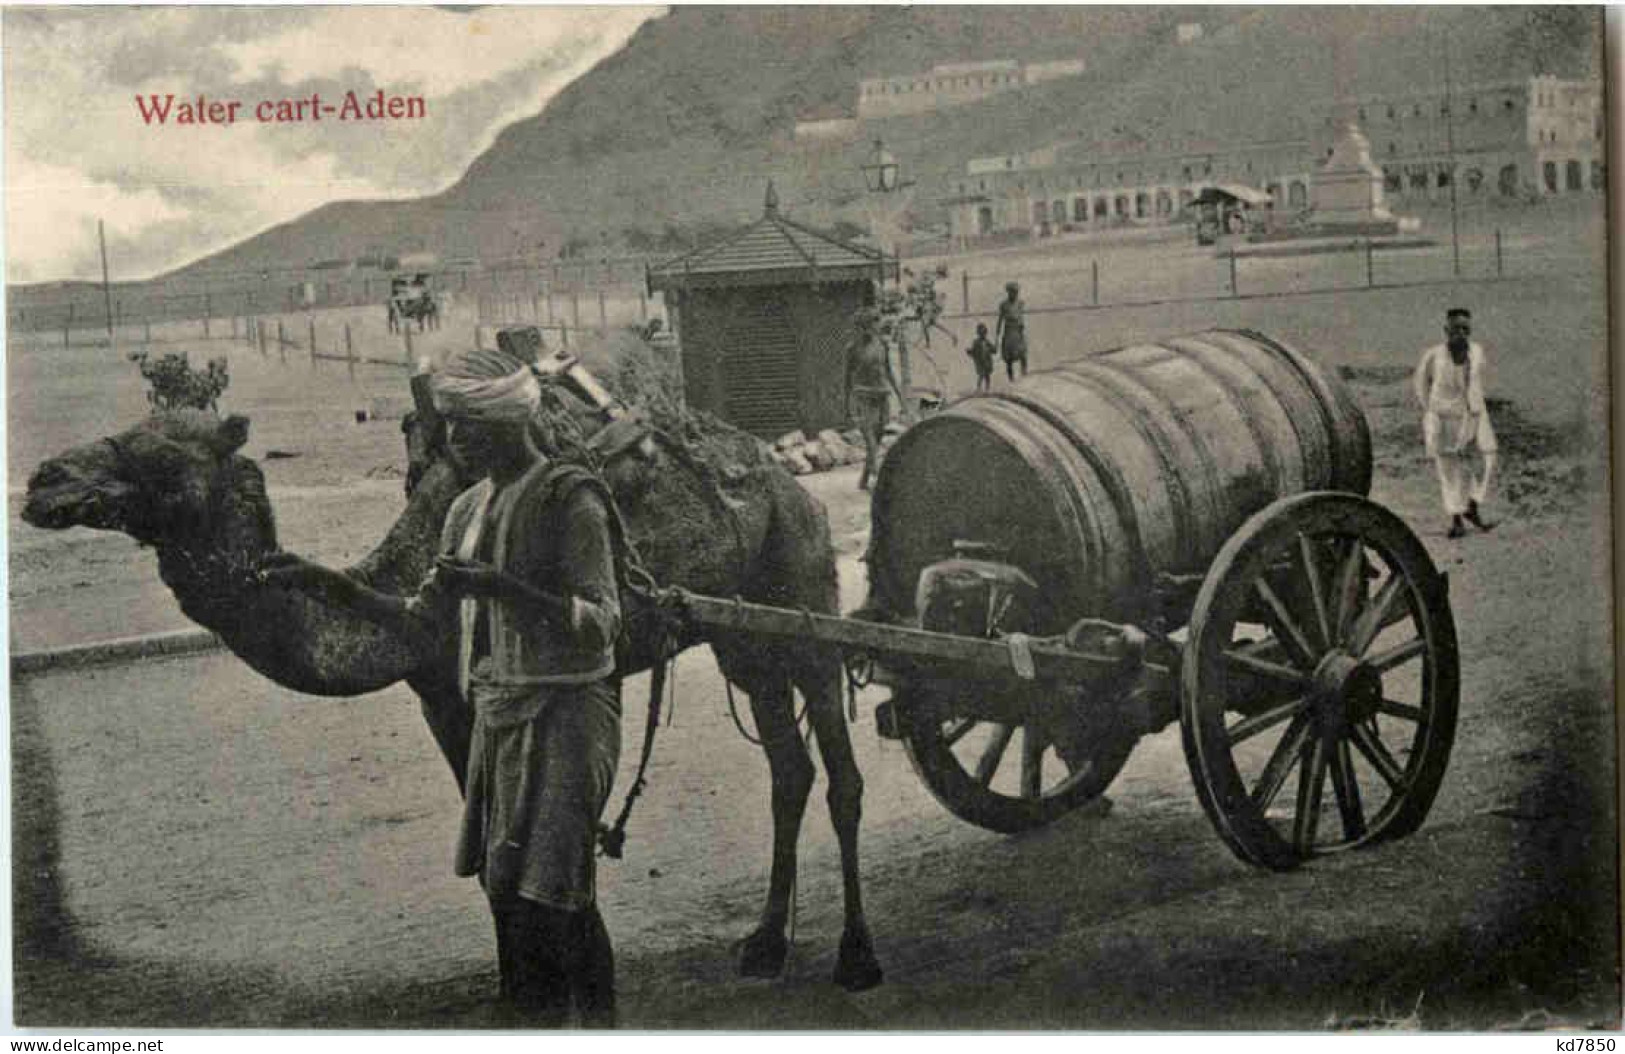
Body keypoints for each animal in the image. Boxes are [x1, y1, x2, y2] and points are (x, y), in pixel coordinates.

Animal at [19, 332, 884, 993]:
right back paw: (765, 944)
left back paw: (856, 956)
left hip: (802, 595)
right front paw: (516, 981)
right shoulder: (441, 696)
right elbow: (490, 843)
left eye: (160, 451)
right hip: (745, 642)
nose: (41, 479)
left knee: (840, 773)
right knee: (787, 770)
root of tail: (784, 482)